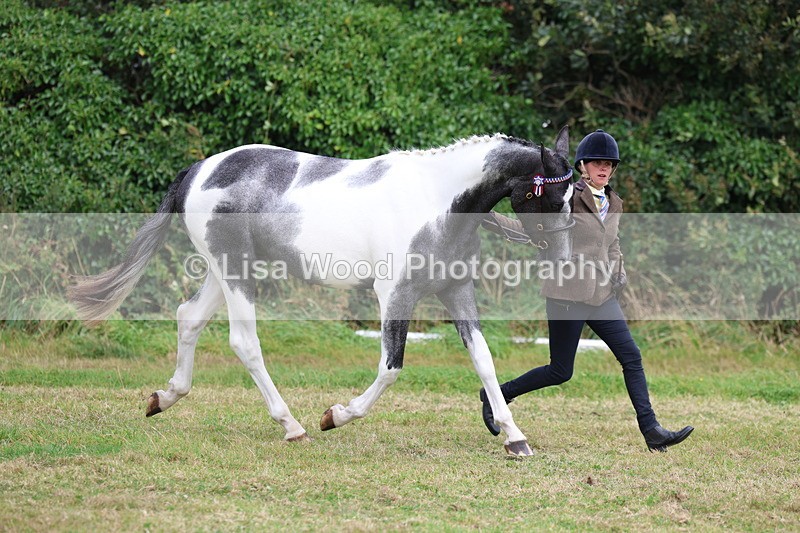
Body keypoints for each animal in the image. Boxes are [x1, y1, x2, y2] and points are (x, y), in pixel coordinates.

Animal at [69, 126, 573, 457]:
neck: (438, 201)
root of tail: (198, 171)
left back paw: (164, 398)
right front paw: (336, 415)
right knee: (244, 342)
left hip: (223, 270)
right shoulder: (396, 295)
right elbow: (390, 368)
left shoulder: (456, 291)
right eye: (552, 196)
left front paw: (514, 438)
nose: (564, 260)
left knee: (188, 318)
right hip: (235, 272)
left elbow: (484, 361)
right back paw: (292, 426)